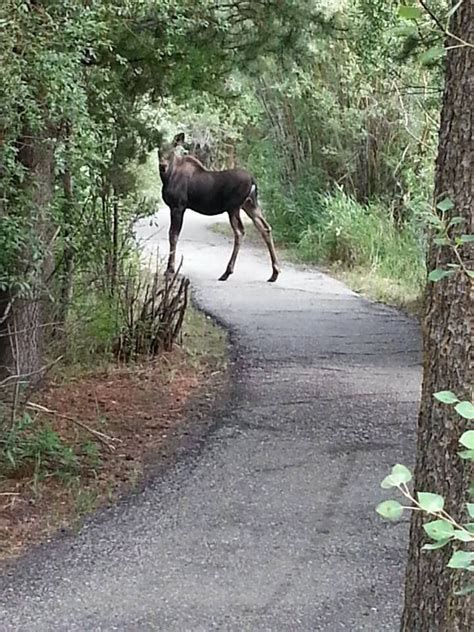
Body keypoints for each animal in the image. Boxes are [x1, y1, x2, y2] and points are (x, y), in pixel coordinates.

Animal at [159, 133, 280, 282]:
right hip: (250, 204)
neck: (168, 177)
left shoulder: (178, 206)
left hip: (234, 207)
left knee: (240, 231)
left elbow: (173, 235)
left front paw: (170, 270)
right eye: (158, 150)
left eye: (171, 151)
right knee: (265, 228)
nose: (163, 165)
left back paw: (227, 272)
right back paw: (274, 273)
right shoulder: (176, 207)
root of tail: (253, 180)